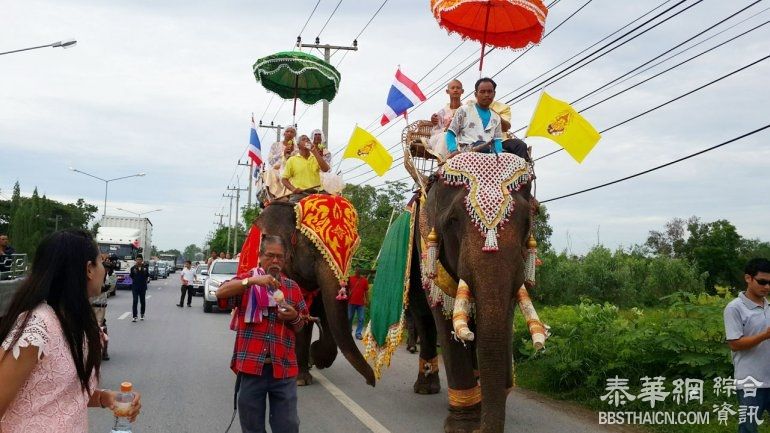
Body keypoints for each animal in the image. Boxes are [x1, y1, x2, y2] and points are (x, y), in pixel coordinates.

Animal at [255, 201, 376, 386]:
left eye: (353, 252)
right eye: (312, 250)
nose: (371, 382)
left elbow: (326, 315)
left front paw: (316, 357)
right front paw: (301, 379)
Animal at [408, 156, 536, 432]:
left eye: (527, 222)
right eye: (453, 220)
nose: (510, 383)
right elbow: (445, 319)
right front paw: (464, 426)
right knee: (424, 317)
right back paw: (425, 388)